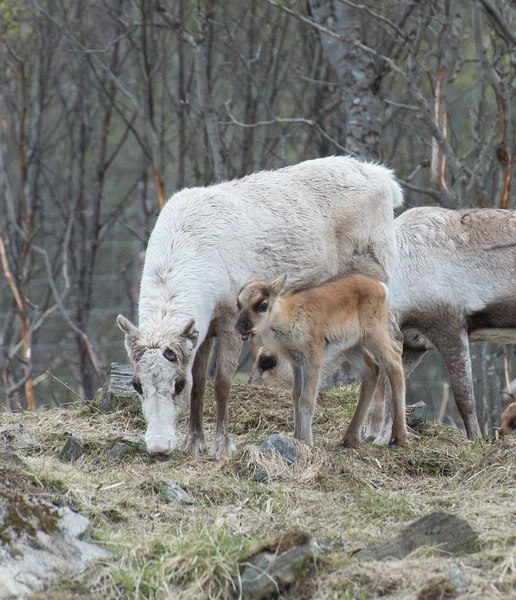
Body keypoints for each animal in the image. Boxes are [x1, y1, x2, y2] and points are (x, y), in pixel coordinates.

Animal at [235, 274, 408, 448]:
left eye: (263, 304)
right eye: (238, 304)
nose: (240, 326)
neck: (288, 315)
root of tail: (381, 286)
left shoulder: (313, 360)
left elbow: (306, 400)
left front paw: (307, 442)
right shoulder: (296, 363)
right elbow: (296, 396)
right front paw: (297, 438)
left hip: (374, 336)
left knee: (393, 364)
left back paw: (397, 438)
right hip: (352, 346)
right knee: (372, 369)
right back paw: (349, 439)